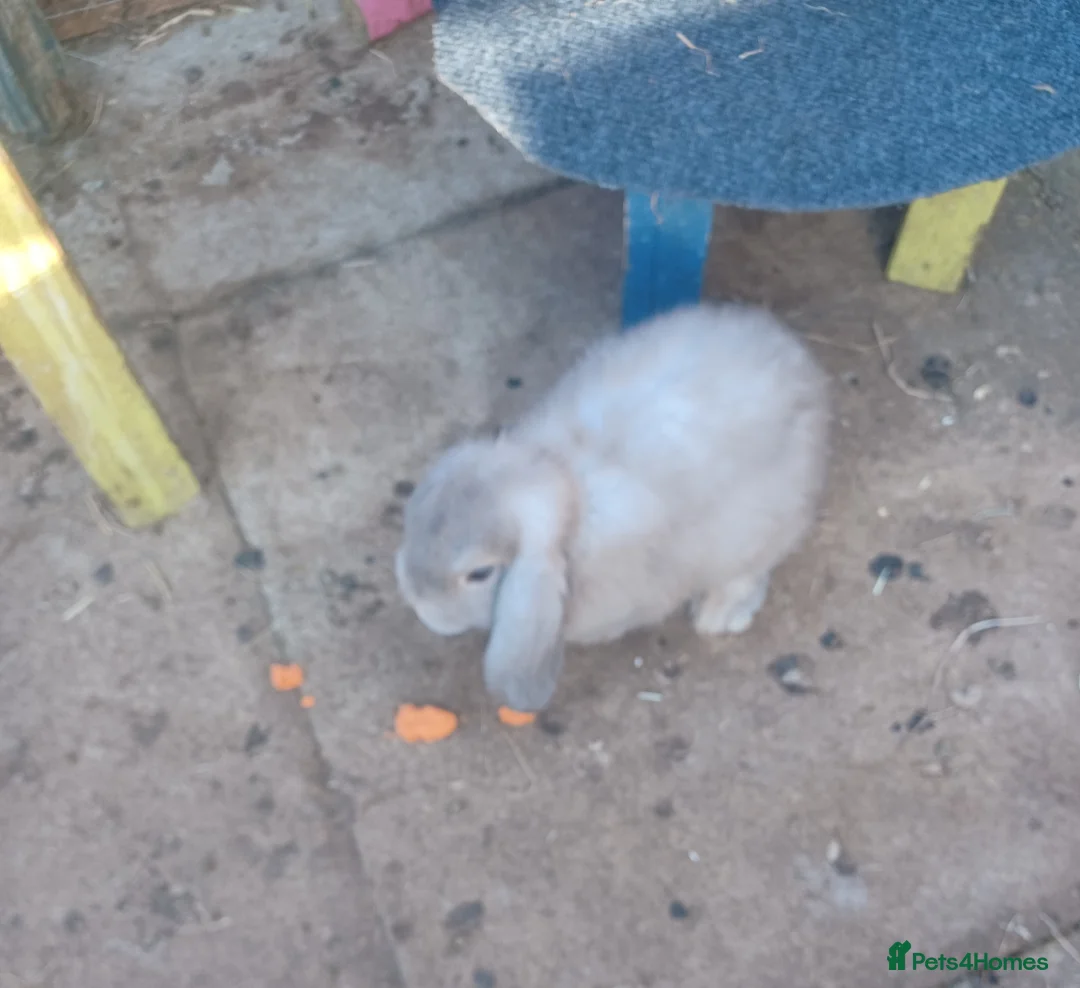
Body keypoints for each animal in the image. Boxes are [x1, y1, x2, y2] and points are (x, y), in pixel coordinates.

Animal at [395, 302, 830, 712]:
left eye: (480, 573)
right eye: (412, 520)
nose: (420, 606)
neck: (564, 485)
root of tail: (800, 363)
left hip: (762, 523)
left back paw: (719, 614)